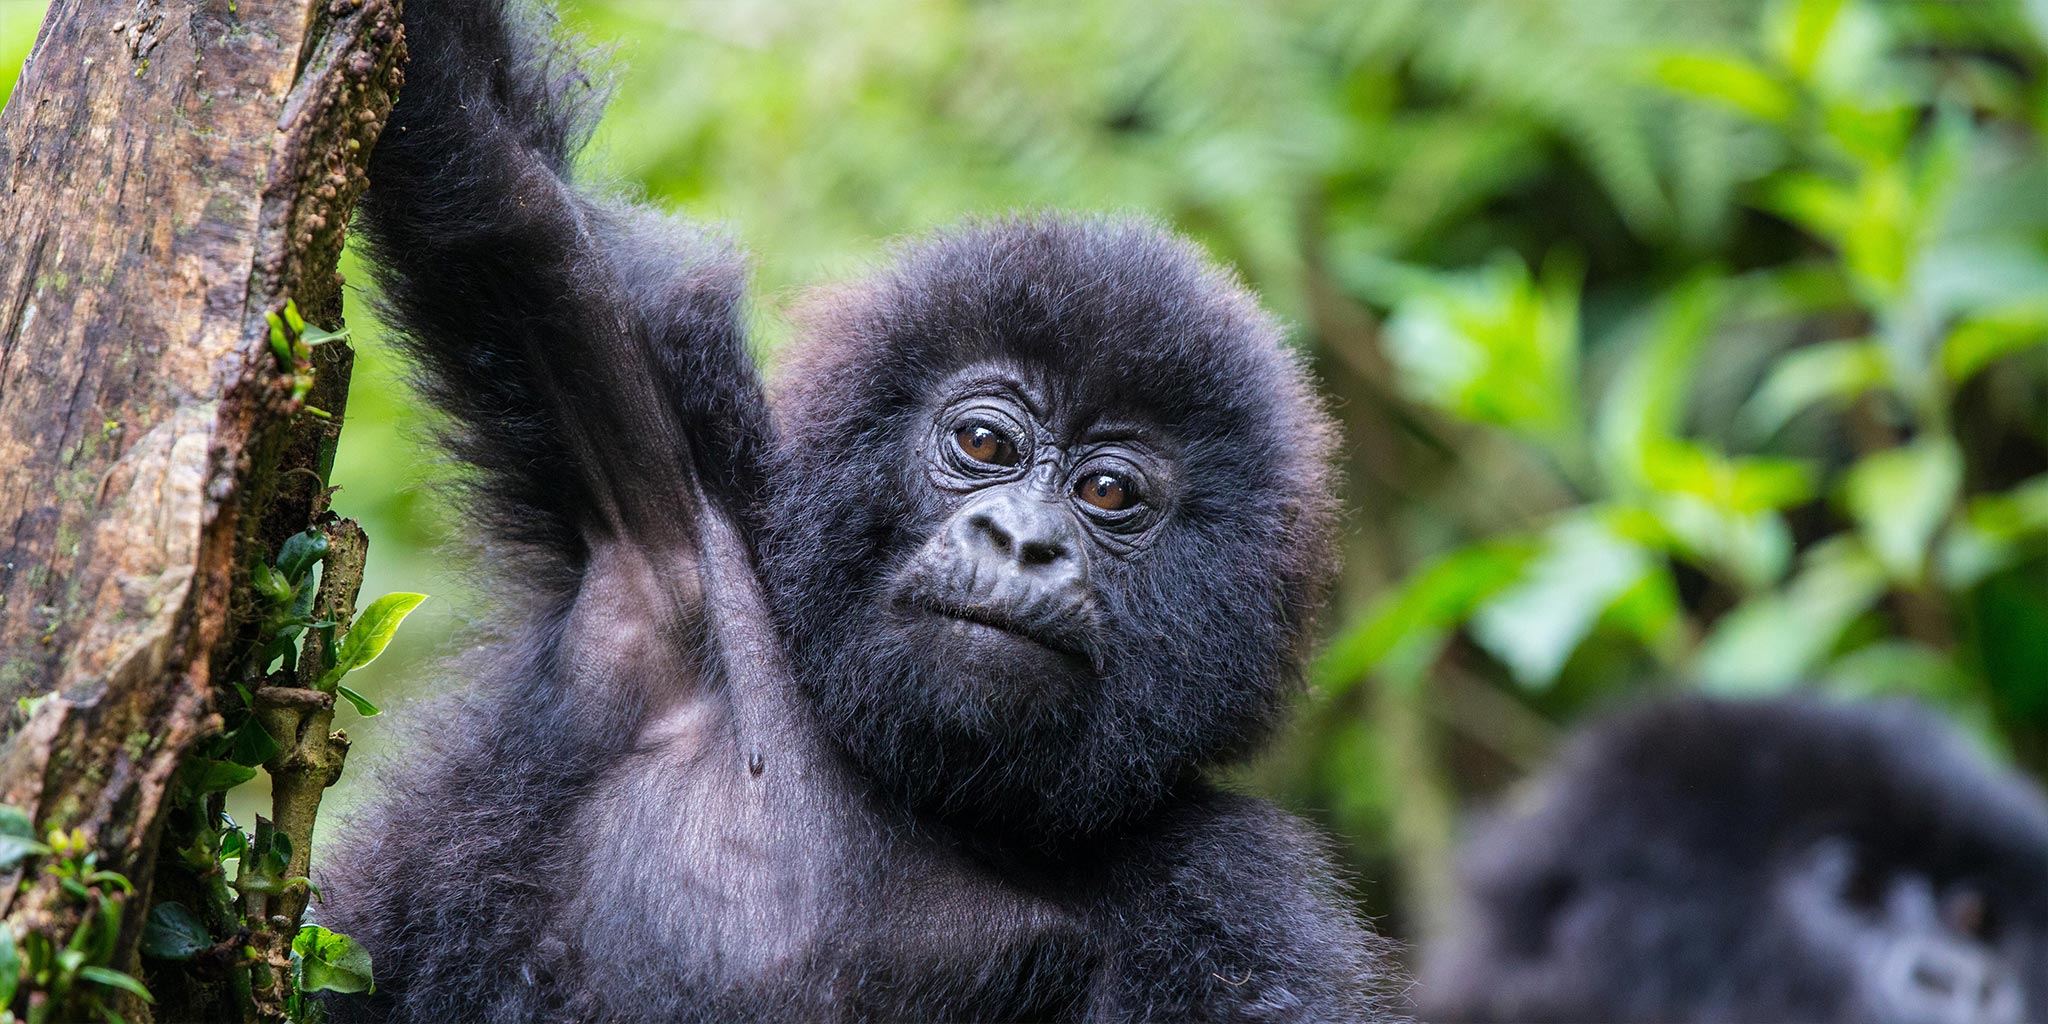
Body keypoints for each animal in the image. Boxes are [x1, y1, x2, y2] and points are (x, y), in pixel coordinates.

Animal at [319, 0, 1400, 1015]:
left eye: (1106, 492)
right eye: (984, 444)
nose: (1019, 541)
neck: (911, 781)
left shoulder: (1230, 892)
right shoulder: (678, 518)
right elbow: (498, 194)